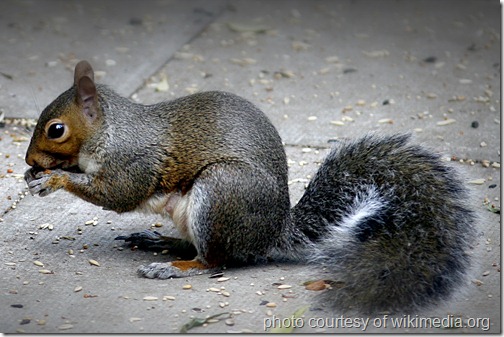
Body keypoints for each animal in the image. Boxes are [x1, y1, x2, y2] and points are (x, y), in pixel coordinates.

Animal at [23, 59, 474, 312]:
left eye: (56, 129)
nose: (28, 162)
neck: (110, 132)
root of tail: (272, 233)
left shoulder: (134, 162)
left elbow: (117, 194)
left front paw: (54, 178)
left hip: (221, 191)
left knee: (215, 261)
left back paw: (173, 267)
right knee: (203, 249)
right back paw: (160, 243)